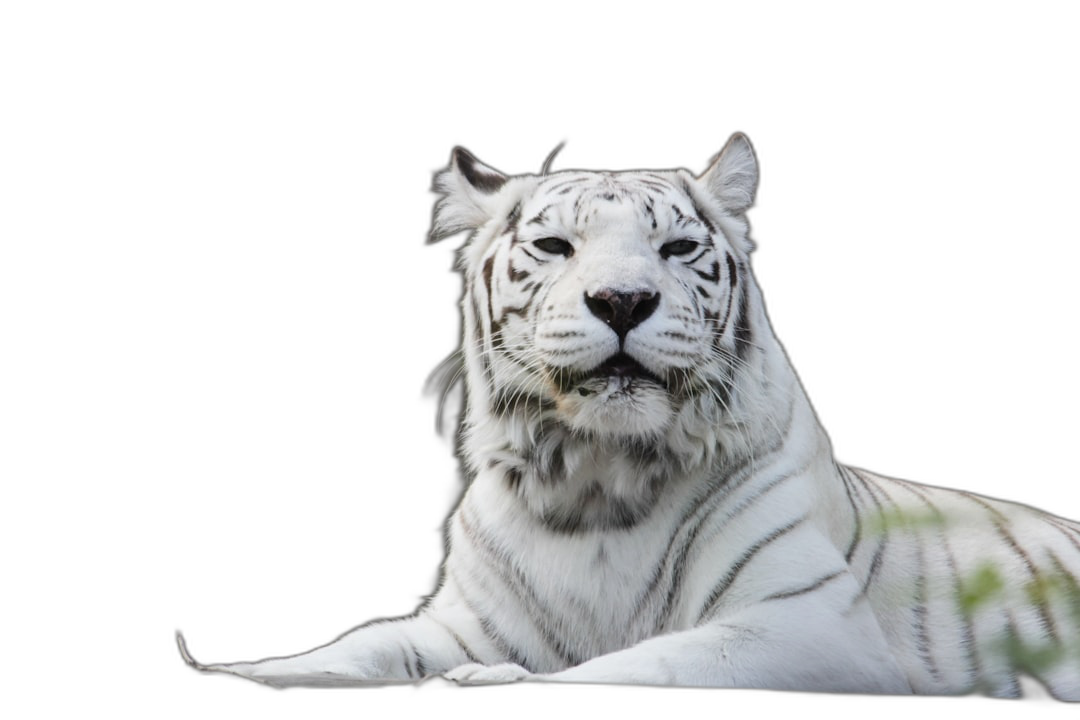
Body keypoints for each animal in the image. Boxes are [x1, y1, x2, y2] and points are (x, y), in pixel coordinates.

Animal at [187, 133, 1080, 699]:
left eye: (677, 250)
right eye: (554, 247)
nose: (622, 300)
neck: (592, 479)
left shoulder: (810, 623)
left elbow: (636, 665)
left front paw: (484, 683)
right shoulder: (468, 618)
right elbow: (361, 644)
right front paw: (239, 670)